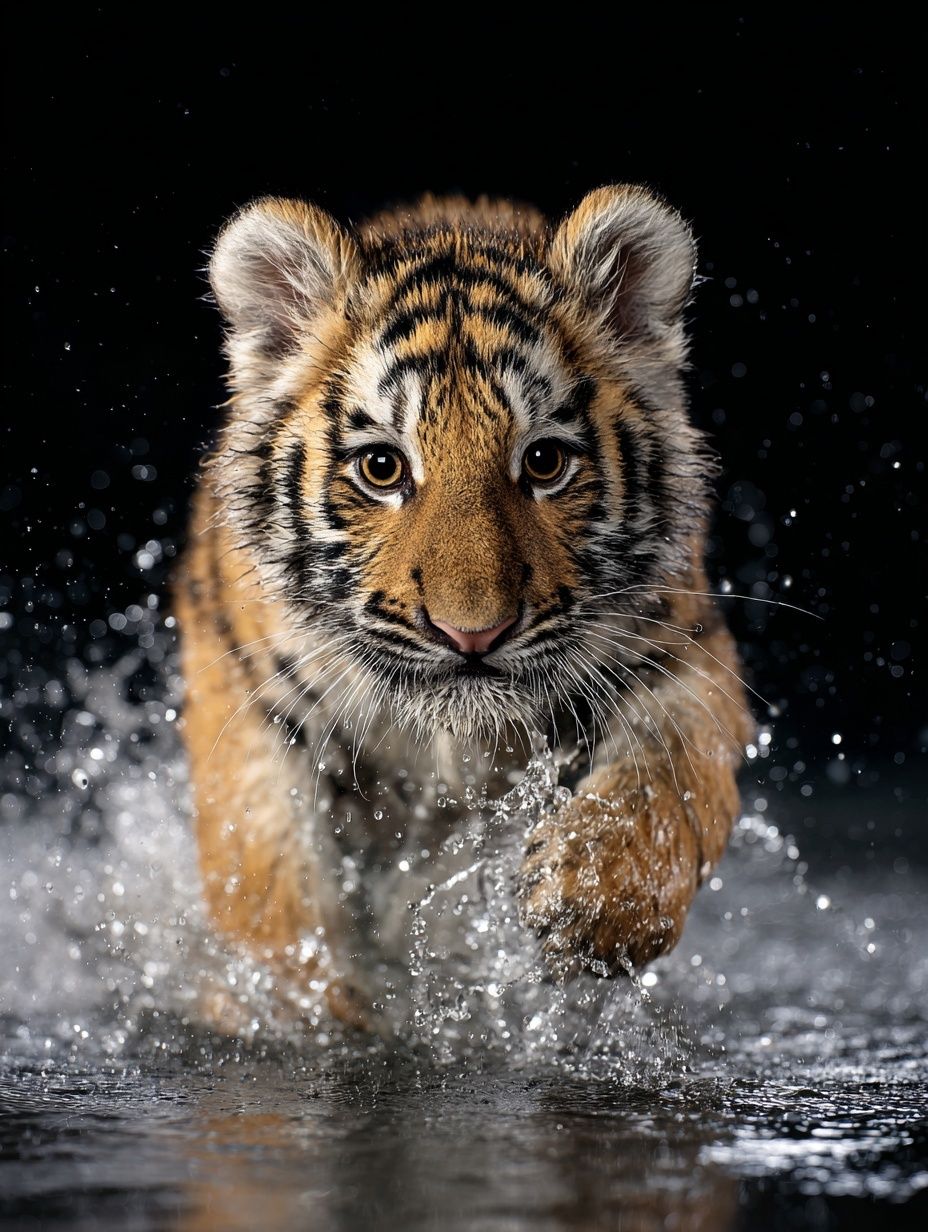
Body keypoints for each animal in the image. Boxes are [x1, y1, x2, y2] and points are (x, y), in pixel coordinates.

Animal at [176, 186, 753, 1028]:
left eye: (543, 462)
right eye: (383, 468)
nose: (471, 633)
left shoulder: (681, 654)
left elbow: (667, 782)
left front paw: (590, 894)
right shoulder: (252, 701)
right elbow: (271, 885)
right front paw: (316, 1013)